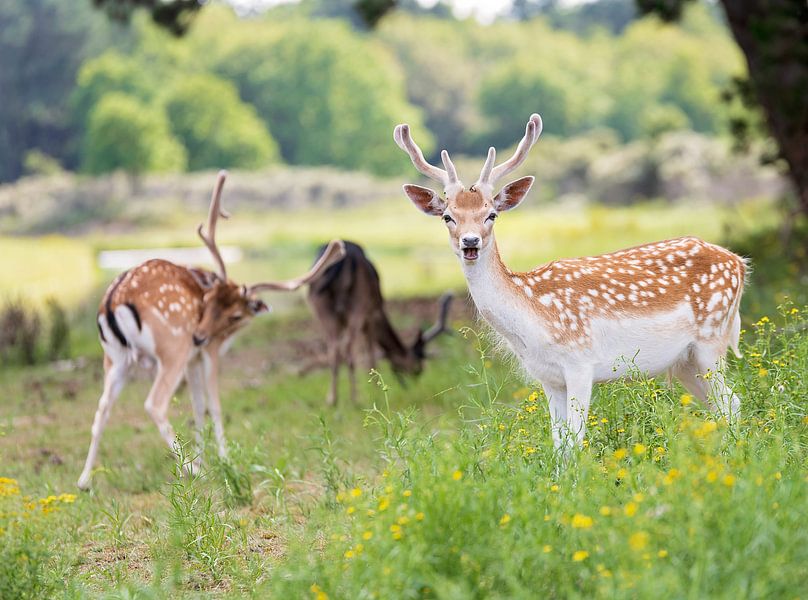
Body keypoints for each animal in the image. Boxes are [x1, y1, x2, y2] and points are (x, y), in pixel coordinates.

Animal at [79, 171, 348, 490]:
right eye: (207, 303)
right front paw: (224, 460)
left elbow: (197, 407)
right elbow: (215, 405)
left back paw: (84, 481)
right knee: (154, 403)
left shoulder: (193, 358)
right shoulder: (209, 351)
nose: (199, 335)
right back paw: (190, 469)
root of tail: (113, 302)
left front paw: (205, 456)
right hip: (172, 347)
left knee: (101, 409)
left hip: (114, 358)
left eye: (233, 312)